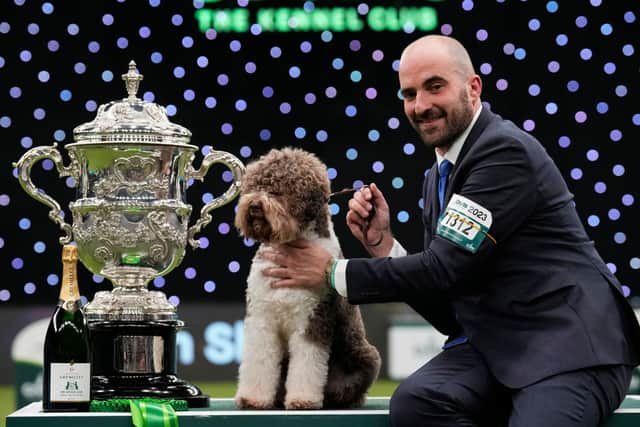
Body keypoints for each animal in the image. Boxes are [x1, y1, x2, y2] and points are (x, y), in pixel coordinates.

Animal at [238, 148, 382, 412]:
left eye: (280, 189)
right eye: (256, 185)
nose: (254, 205)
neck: (289, 245)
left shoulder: (313, 319)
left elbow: (307, 364)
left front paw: (302, 400)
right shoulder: (262, 318)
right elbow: (259, 359)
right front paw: (253, 398)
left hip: (365, 355)